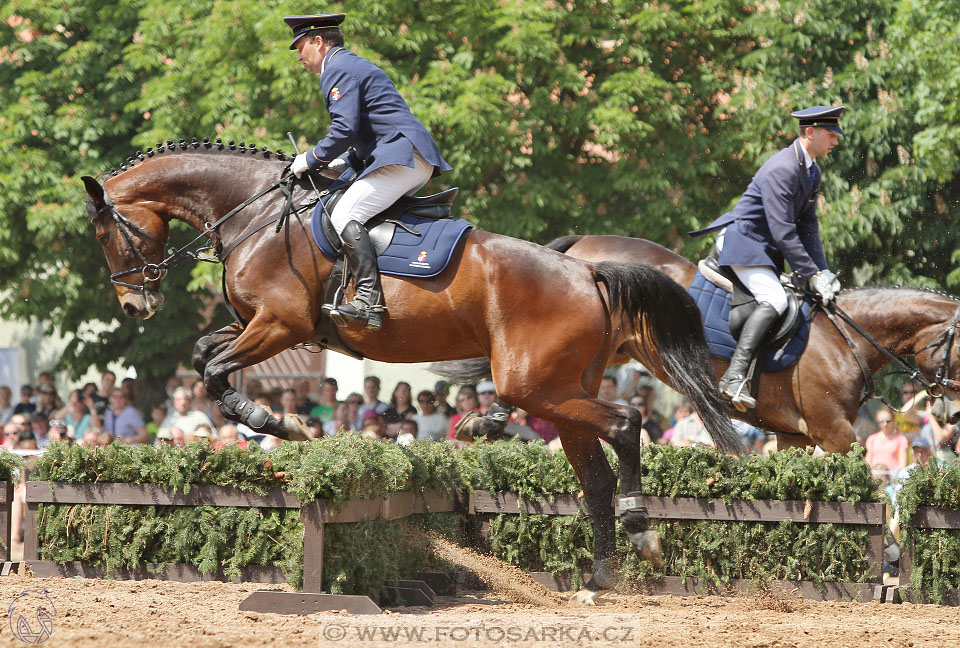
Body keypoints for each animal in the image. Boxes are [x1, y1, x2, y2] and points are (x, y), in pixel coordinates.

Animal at [82, 138, 744, 604]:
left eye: (104, 233)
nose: (134, 305)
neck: (257, 214)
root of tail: (587, 272)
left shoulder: (279, 325)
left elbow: (216, 374)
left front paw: (283, 424)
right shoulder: (257, 326)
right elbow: (203, 355)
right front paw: (280, 421)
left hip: (535, 386)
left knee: (627, 422)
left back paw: (641, 531)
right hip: (558, 390)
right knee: (595, 472)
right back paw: (600, 573)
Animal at [544, 235, 960, 454]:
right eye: (958, 353)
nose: (953, 415)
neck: (846, 339)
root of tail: (581, 243)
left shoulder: (796, 436)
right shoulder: (835, 432)